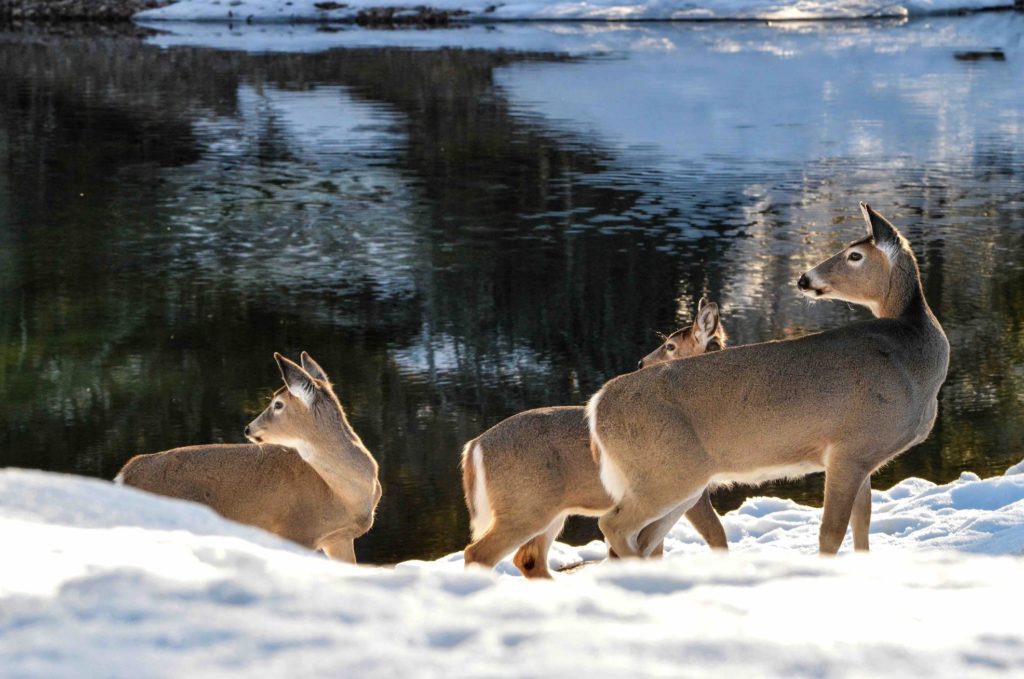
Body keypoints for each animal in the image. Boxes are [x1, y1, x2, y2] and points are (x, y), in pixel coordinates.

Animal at [116, 352, 382, 563]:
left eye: (277, 404)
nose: (248, 428)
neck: (344, 495)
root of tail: (126, 474)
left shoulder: (338, 539)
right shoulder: (294, 531)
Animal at [462, 299, 728, 579]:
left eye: (670, 346)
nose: (640, 363)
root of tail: (474, 446)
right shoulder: (688, 485)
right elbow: (715, 535)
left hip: (549, 511)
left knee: (528, 558)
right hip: (525, 504)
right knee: (479, 553)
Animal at [587, 203, 949, 559]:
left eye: (854, 255)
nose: (804, 278)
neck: (912, 359)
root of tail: (596, 406)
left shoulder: (863, 458)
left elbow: (862, 528)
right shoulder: (849, 448)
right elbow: (830, 534)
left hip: (674, 480)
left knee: (643, 539)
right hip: (666, 471)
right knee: (613, 525)